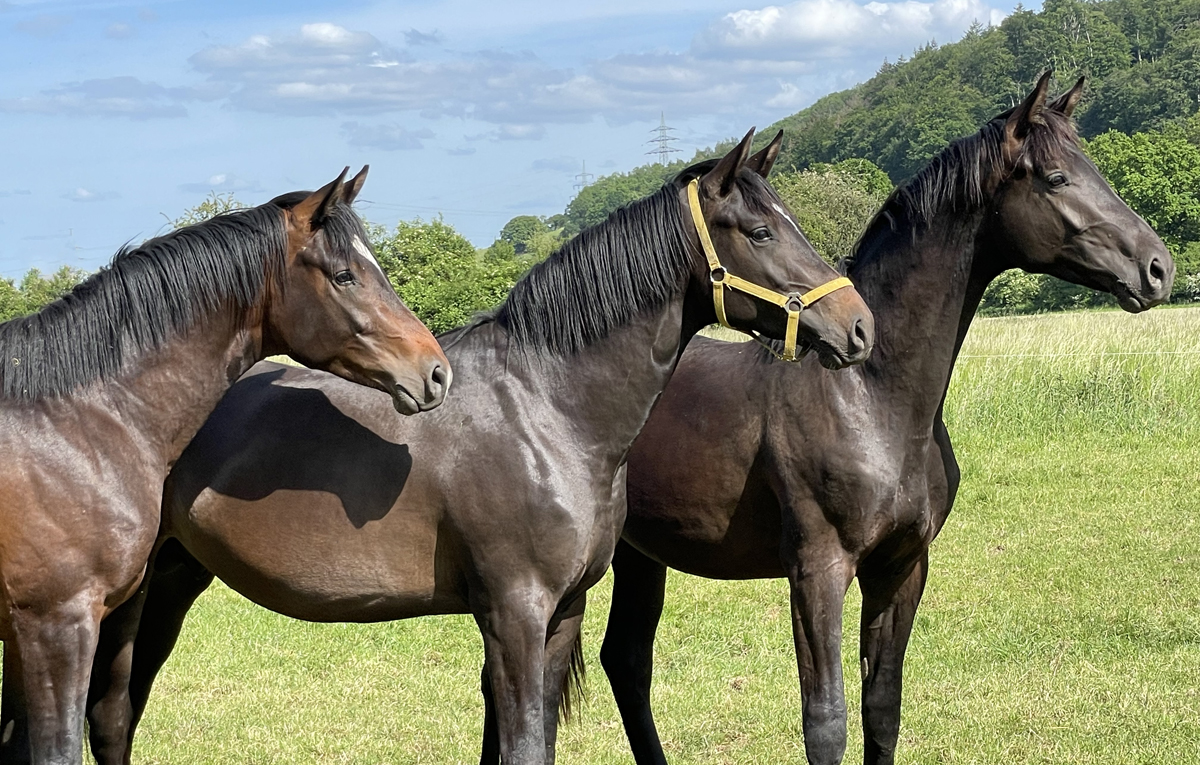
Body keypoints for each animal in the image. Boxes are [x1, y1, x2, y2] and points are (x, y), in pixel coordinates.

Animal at [82, 131, 873, 765]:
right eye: (761, 233)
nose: (858, 326)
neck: (547, 409)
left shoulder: (561, 613)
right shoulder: (514, 612)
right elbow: (521, 745)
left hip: (171, 581)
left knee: (115, 715)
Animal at [595, 73, 1166, 765]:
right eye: (1056, 177)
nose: (1158, 267)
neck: (872, 400)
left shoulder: (902, 567)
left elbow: (882, 708)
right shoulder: (818, 572)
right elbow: (827, 723)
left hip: (641, 554)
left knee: (626, 661)